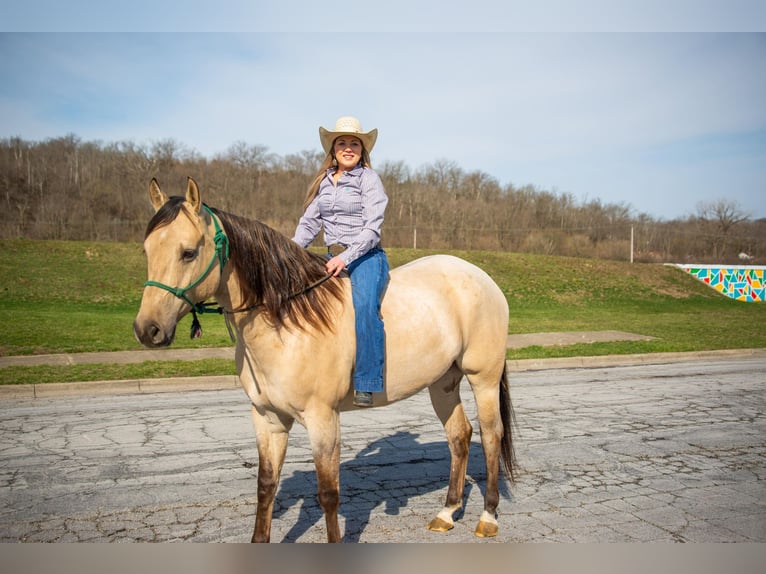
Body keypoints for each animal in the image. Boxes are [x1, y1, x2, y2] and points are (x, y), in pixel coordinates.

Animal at [134, 178, 516, 544]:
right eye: (147, 250)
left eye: (188, 253)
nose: (147, 329)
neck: (288, 321)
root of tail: (481, 277)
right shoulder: (268, 419)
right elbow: (265, 486)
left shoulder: (323, 421)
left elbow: (328, 494)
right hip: (442, 383)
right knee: (459, 436)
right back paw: (447, 513)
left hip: (482, 378)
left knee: (491, 436)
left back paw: (488, 517)